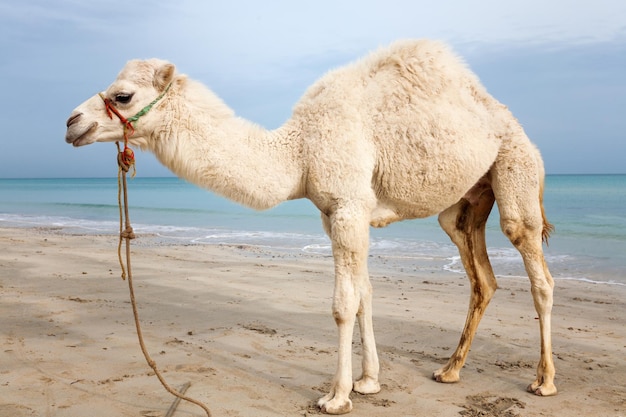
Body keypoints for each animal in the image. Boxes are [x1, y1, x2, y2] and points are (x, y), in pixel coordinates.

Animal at [66, 39, 552, 412]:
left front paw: (336, 396)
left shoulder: (349, 206)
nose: (72, 123)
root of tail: (505, 116)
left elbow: (343, 304)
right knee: (480, 275)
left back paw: (543, 381)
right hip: (464, 203)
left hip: (516, 165)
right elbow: (364, 295)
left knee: (534, 265)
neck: (297, 151)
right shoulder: (336, 212)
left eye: (123, 95)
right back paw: (449, 370)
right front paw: (369, 382)